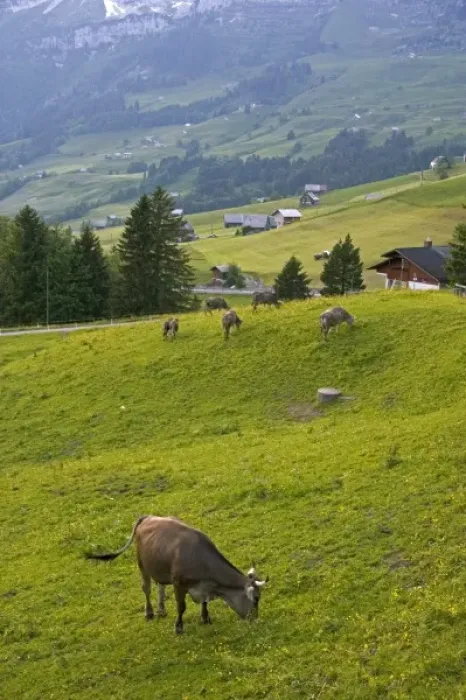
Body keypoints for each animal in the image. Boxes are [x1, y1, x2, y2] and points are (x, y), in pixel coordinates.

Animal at [86, 515, 267, 634]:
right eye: (256, 598)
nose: (256, 619)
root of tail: (148, 517)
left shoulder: (203, 586)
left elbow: (204, 602)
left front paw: (205, 618)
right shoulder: (179, 583)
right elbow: (181, 607)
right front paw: (178, 626)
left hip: (159, 565)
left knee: (160, 585)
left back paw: (161, 610)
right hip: (142, 565)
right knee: (147, 589)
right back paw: (149, 613)